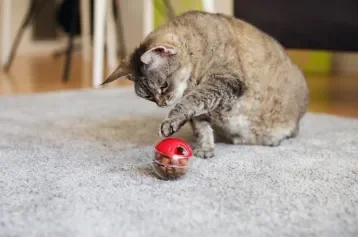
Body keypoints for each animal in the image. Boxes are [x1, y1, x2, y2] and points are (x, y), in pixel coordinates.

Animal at [100, 11, 308, 159]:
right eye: (149, 96)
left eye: (164, 85)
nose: (161, 103)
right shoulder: (203, 109)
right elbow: (202, 127)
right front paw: (205, 148)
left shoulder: (224, 81)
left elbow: (190, 102)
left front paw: (170, 121)